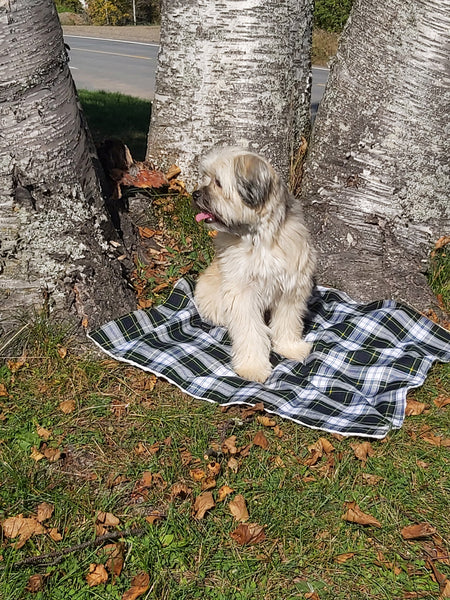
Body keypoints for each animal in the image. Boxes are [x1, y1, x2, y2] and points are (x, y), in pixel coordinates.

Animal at [192, 149, 316, 382]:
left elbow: (287, 321)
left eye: (218, 183)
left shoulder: (291, 287)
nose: (195, 194)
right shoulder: (241, 294)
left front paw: (289, 348)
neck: (259, 238)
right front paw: (253, 367)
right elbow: (250, 332)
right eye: (206, 177)